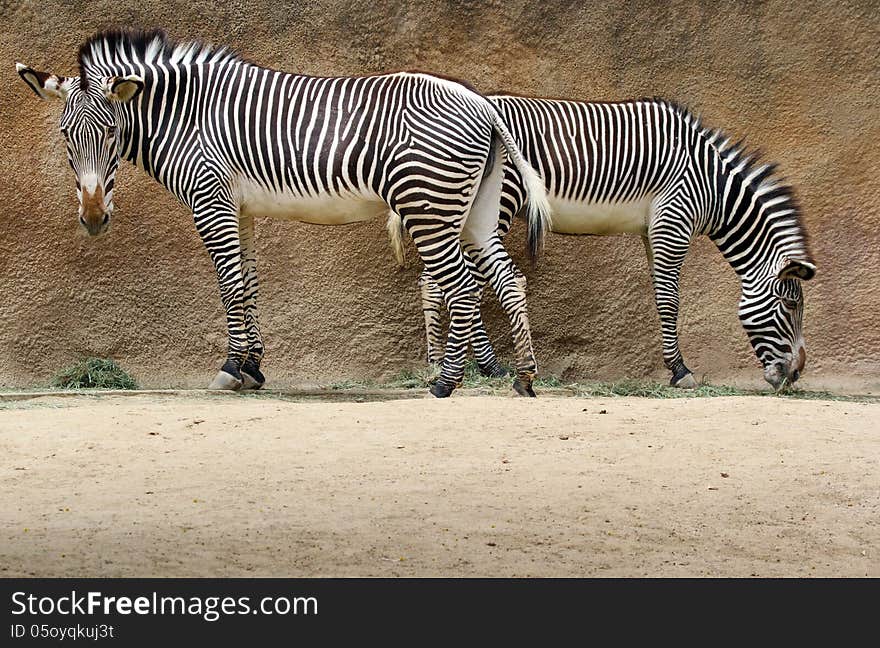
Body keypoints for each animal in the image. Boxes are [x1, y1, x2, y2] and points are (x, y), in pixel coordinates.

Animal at [15, 30, 552, 398]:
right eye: (66, 137)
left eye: (110, 133)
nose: (92, 219)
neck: (186, 116)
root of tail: (481, 101)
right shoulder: (241, 208)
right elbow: (249, 285)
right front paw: (252, 367)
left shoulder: (209, 198)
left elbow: (228, 285)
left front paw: (231, 367)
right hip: (476, 209)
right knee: (507, 279)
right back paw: (524, 375)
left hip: (429, 203)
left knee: (461, 285)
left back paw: (447, 382)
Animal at [396, 96, 816, 390]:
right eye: (791, 304)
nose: (795, 376)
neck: (712, 184)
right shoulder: (674, 218)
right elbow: (670, 299)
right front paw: (680, 371)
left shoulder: (653, 228)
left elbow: (660, 293)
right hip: (493, 206)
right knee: (450, 282)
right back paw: (470, 365)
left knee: (437, 280)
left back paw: (452, 365)